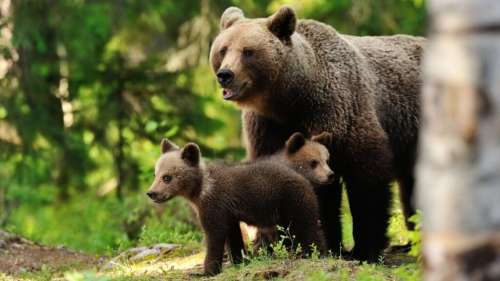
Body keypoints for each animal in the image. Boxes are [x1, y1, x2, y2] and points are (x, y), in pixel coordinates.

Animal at [209, 5, 424, 260]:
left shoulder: (338, 110)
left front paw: (362, 249)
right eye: (222, 49)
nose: (225, 74)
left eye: (248, 51)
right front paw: (275, 244)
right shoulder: (266, 127)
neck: (288, 99)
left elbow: (366, 178)